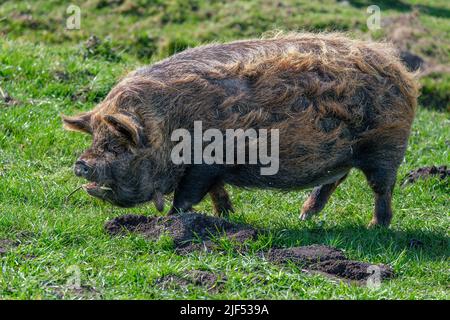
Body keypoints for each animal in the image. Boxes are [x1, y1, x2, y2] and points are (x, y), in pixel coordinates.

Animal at [63, 32, 418, 228]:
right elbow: (217, 192)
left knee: (382, 188)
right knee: (333, 180)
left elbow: (187, 195)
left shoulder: (203, 164)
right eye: (95, 138)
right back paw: (304, 216)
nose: (81, 163)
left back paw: (376, 227)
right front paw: (226, 218)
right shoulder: (213, 168)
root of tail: (399, 69)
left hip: (386, 146)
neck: (168, 125)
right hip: (344, 154)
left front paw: (170, 221)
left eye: (116, 146)